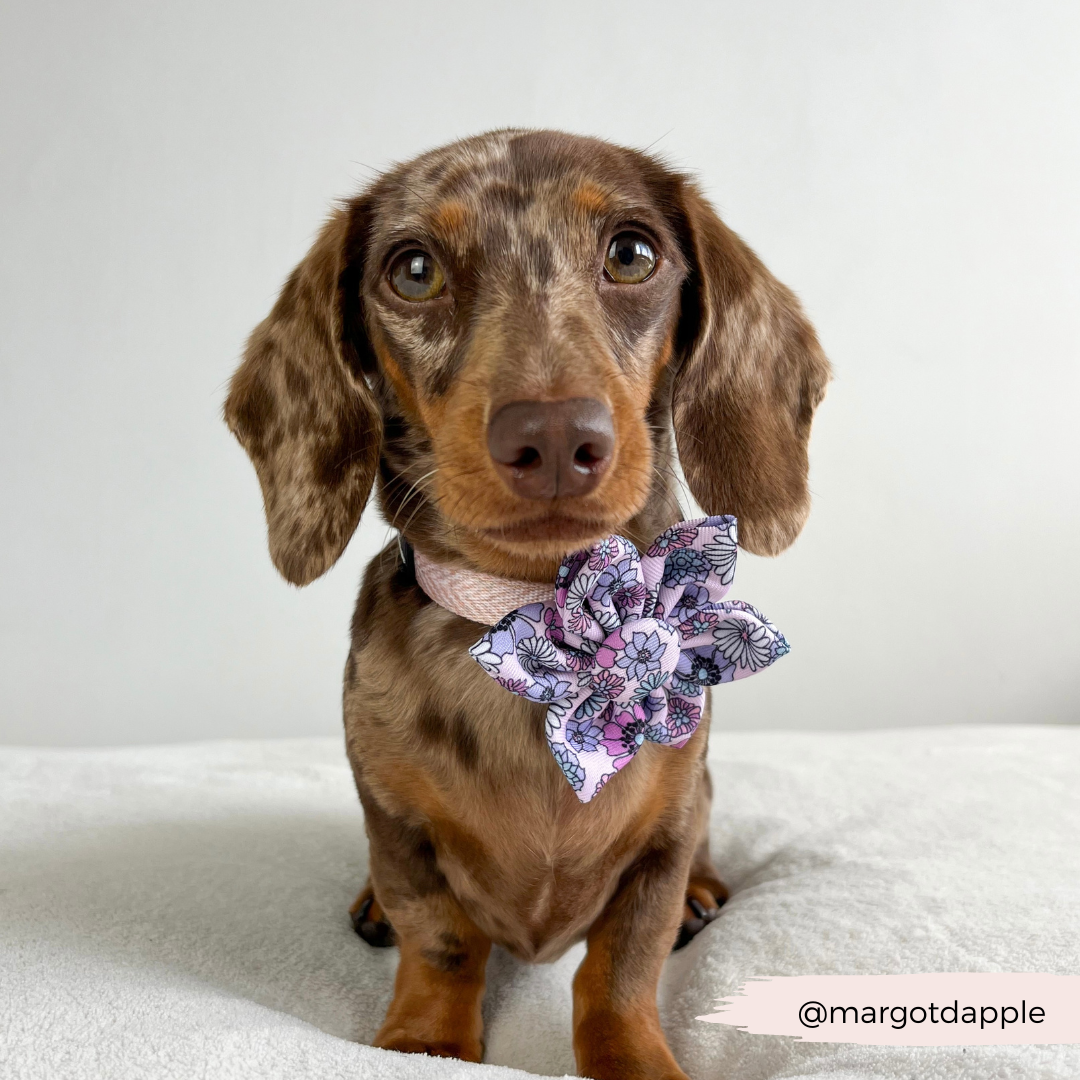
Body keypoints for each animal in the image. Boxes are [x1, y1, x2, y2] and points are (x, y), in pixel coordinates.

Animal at [223, 128, 829, 1080]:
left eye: (632, 253)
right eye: (414, 270)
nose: (550, 439)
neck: (533, 608)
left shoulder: (663, 837)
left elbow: (622, 963)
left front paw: (633, 1057)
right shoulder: (393, 821)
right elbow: (439, 936)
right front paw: (427, 1041)